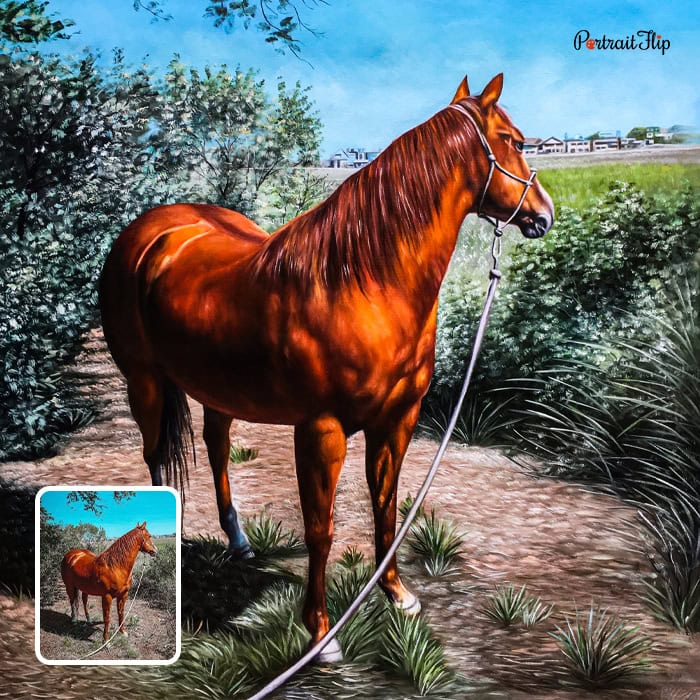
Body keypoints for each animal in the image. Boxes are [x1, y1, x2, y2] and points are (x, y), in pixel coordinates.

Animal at [99, 73, 554, 661]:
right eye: (514, 141)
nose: (544, 214)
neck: (364, 283)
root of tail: (150, 229)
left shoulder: (398, 421)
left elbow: (387, 508)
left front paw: (397, 594)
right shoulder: (322, 431)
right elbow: (322, 528)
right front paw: (320, 633)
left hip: (219, 388)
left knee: (218, 447)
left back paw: (239, 542)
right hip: (146, 383)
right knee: (156, 457)